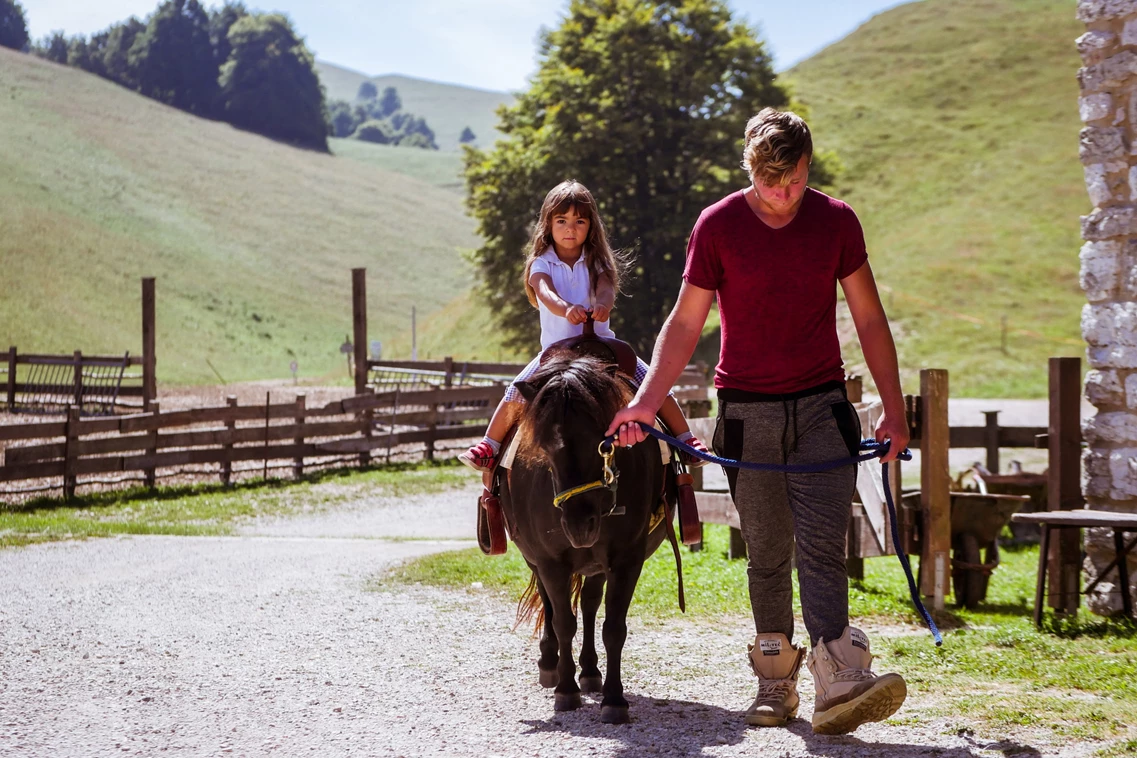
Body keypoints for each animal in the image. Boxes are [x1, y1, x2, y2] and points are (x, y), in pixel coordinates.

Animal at [504, 347, 677, 722]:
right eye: (543, 447)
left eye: (603, 444)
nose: (579, 524)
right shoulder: (550, 560)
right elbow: (563, 623)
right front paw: (565, 690)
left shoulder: (626, 560)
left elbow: (613, 627)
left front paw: (613, 697)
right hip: (540, 561)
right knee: (554, 608)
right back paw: (551, 664)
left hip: (596, 564)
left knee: (588, 603)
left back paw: (590, 671)